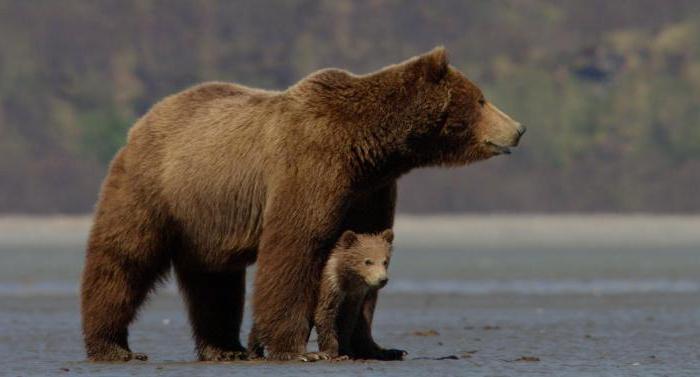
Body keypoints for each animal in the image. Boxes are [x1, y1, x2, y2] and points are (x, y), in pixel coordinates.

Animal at [79, 47, 524, 362]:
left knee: (214, 278)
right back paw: (113, 346)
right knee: (123, 258)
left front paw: (376, 346)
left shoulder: (369, 188)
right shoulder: (311, 166)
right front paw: (298, 349)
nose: (518, 129)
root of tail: (144, 119)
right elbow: (295, 247)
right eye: (481, 100)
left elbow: (366, 245)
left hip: (208, 215)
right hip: (155, 188)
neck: (369, 148)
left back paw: (224, 348)